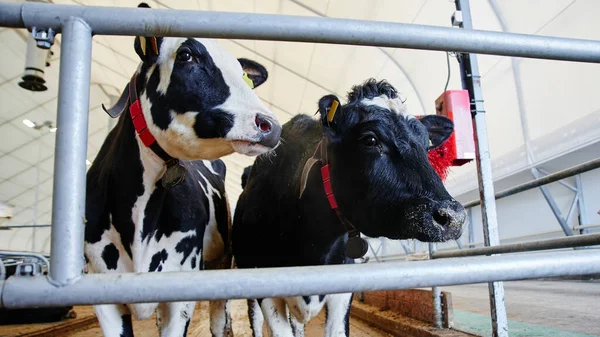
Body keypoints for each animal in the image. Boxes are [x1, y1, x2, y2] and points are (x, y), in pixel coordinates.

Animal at [84, 5, 282, 336]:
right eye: (187, 55)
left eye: (243, 74)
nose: (271, 125)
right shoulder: (101, 287)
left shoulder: (182, 287)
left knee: (218, 319)